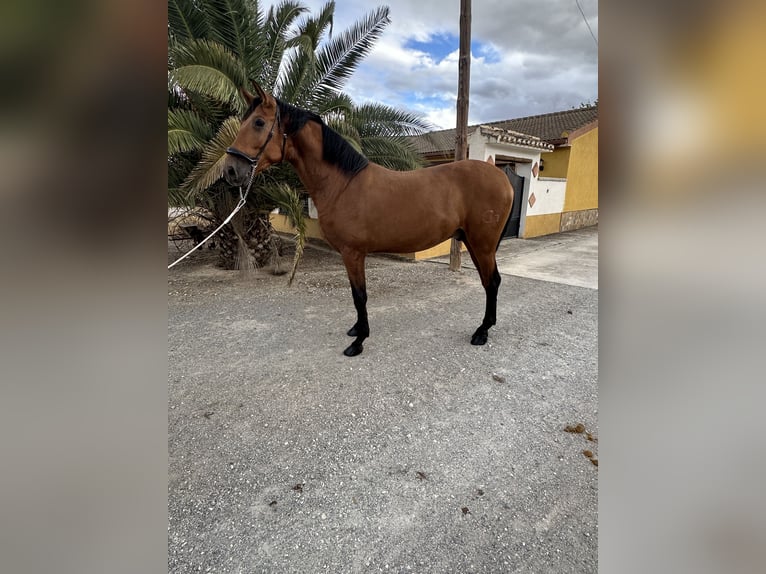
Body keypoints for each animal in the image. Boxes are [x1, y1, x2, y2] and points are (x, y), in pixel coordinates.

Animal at [225, 83, 520, 358]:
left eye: (258, 123)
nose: (230, 170)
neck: (343, 184)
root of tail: (502, 178)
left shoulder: (353, 253)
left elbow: (360, 296)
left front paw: (358, 342)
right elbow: (357, 295)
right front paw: (357, 329)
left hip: (482, 244)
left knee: (492, 282)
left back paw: (481, 332)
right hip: (472, 241)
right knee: (488, 282)